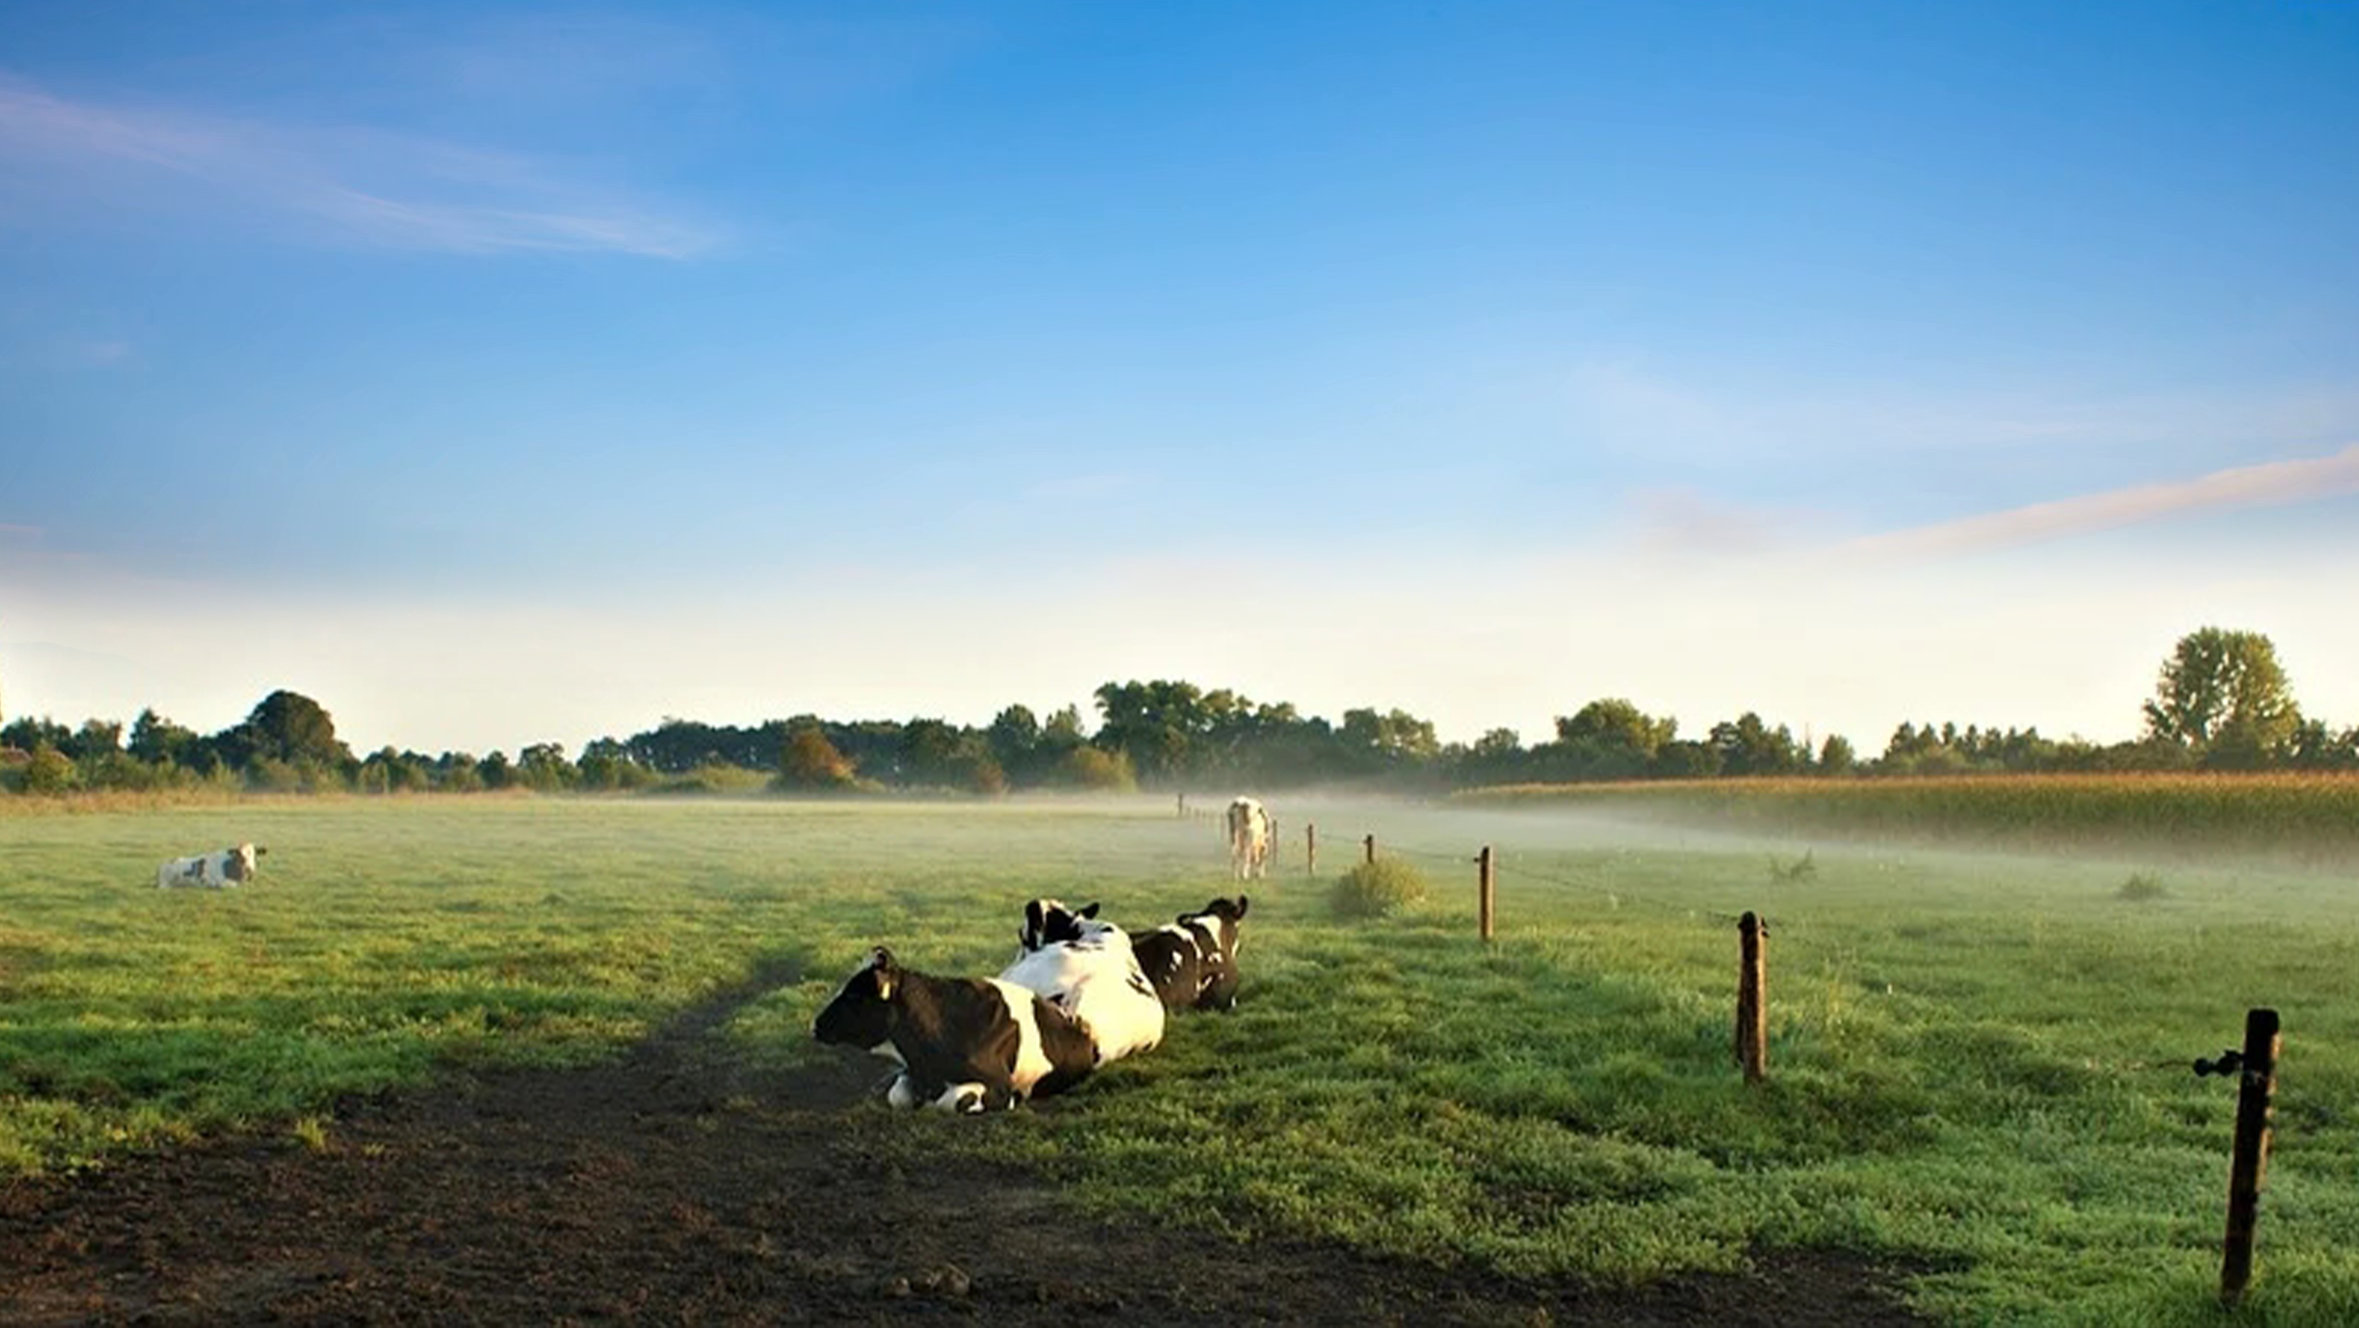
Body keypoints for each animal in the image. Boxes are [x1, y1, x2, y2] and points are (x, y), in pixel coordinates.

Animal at [811, 943, 1094, 1113]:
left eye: (854, 997)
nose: (816, 1025)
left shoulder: (999, 1085)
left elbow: (951, 1102)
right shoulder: (914, 1070)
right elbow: (898, 1095)